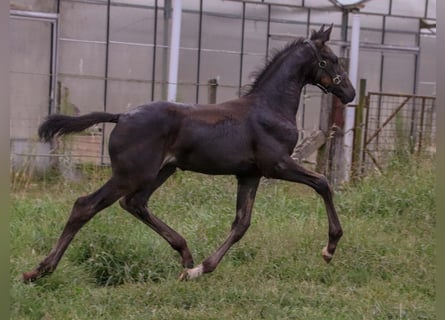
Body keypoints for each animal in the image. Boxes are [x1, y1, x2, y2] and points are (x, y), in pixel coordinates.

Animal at [23, 23, 354, 282]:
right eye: (331, 59)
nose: (349, 93)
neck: (270, 107)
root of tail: (121, 116)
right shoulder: (277, 165)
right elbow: (323, 183)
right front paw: (330, 248)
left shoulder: (249, 174)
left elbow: (241, 224)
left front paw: (200, 269)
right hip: (131, 174)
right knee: (86, 205)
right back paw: (40, 270)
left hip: (161, 171)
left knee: (135, 203)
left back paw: (185, 255)